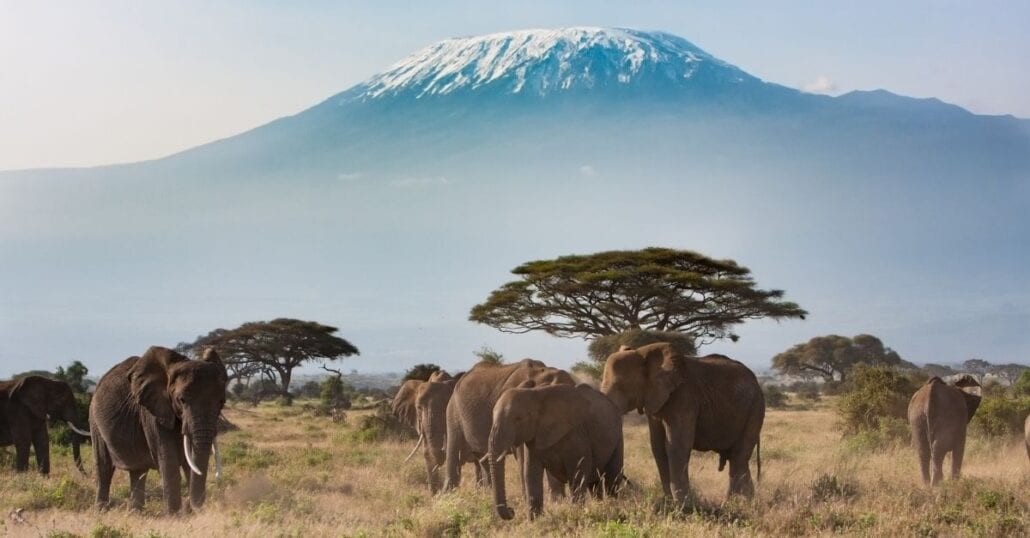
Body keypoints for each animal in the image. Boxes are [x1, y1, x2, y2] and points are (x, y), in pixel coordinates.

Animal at [89, 344, 226, 511]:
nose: (190, 505)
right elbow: (168, 461)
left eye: (221, 402)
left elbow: (189, 462)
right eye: (182, 400)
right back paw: (101, 510)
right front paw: (175, 515)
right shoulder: (153, 412)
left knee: (138, 470)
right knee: (104, 467)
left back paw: (135, 512)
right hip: (94, 421)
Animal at [486, 379, 622, 517]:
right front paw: (536, 520)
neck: (534, 394)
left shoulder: (576, 433)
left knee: (612, 479)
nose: (512, 510)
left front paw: (577, 513)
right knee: (594, 484)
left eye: (518, 419)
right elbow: (531, 474)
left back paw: (614, 506)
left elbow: (578, 473)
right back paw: (600, 505)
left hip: (617, 434)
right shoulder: (533, 438)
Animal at [597, 342, 766, 500]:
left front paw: (684, 503)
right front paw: (670, 501)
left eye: (620, 386)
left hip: (755, 409)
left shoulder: (684, 397)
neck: (642, 352)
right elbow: (658, 447)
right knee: (736, 458)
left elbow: (677, 447)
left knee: (739, 458)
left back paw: (738, 502)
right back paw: (741, 501)